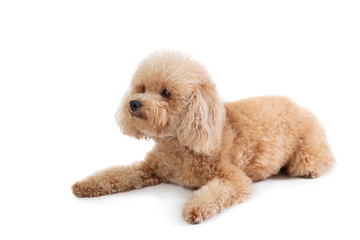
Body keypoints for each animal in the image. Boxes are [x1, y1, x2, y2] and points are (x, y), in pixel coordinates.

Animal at [71, 50, 334, 223]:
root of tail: (302, 107)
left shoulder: (234, 179)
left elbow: (216, 193)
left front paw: (195, 209)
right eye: (142, 88)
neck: (178, 145)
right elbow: (115, 174)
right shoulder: (149, 169)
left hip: (306, 151)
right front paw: (86, 185)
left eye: (166, 93)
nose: (134, 103)